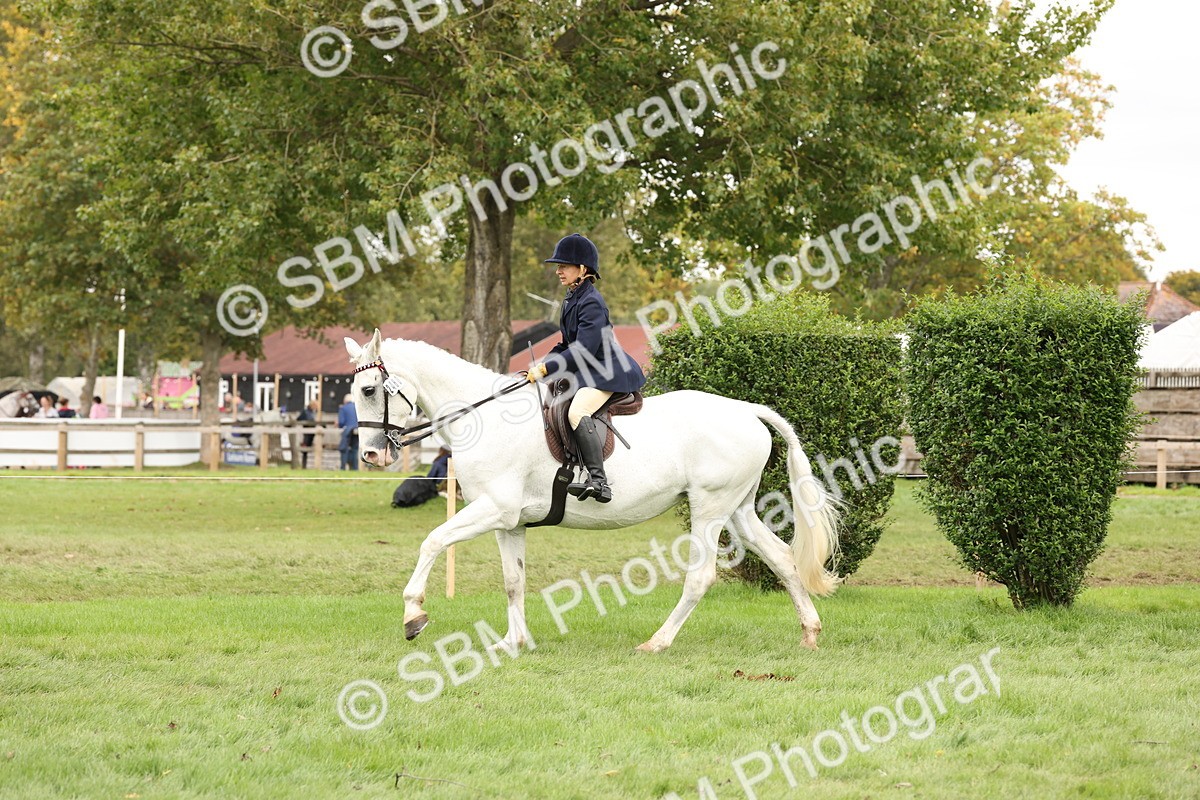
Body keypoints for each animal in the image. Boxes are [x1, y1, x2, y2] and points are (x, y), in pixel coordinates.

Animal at [345, 329, 840, 653]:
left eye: (369, 389)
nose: (370, 455)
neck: (483, 417)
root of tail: (748, 410)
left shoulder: (493, 509)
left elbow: (432, 542)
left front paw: (413, 617)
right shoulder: (509, 521)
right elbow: (513, 580)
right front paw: (513, 641)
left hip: (709, 508)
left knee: (701, 577)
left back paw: (656, 642)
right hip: (737, 508)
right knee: (782, 558)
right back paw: (810, 633)